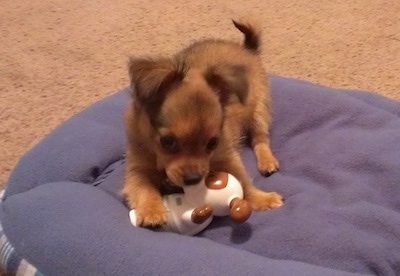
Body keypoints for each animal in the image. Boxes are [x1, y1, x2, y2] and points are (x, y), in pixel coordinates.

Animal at [123, 18, 282, 227]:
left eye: (212, 144)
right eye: (168, 142)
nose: (193, 178)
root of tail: (247, 49)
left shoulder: (228, 157)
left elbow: (244, 181)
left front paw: (261, 199)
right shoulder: (136, 169)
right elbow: (143, 188)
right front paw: (151, 211)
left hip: (259, 110)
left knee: (260, 139)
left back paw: (267, 161)